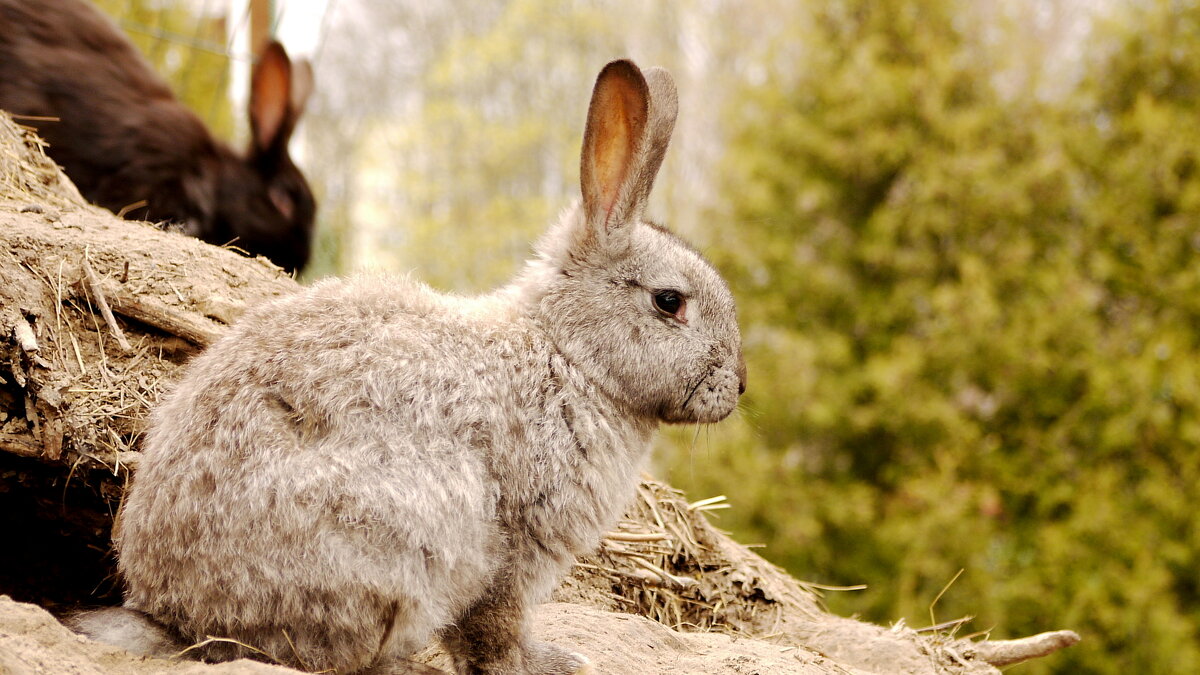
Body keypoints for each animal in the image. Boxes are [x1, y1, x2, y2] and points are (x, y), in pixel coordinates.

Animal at [77, 60, 739, 667]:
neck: (566, 354)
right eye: (670, 302)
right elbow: (495, 625)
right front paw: (545, 664)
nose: (737, 388)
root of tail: (172, 614)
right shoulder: (511, 546)